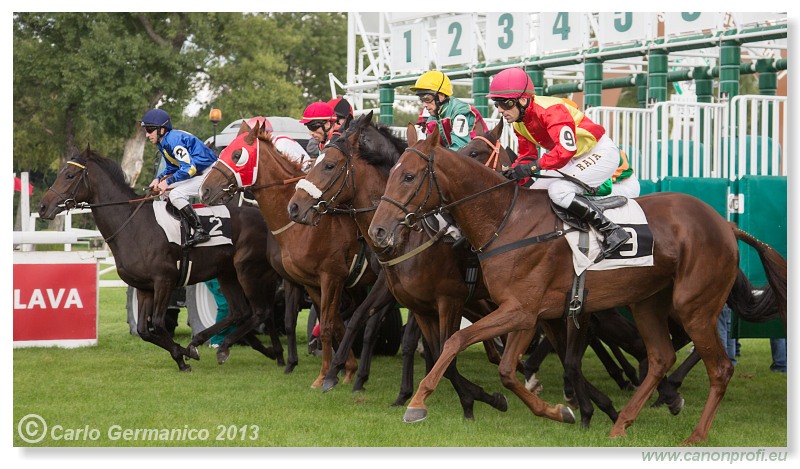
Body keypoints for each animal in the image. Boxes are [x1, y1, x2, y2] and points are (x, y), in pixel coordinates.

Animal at [39, 146, 288, 370]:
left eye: (70, 175)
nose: (42, 207)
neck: (133, 226)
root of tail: (266, 219)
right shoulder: (144, 287)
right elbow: (144, 330)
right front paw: (184, 351)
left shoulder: (164, 281)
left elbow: (157, 324)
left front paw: (182, 358)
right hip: (227, 274)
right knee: (241, 312)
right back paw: (262, 350)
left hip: (248, 271)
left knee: (260, 311)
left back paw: (227, 346)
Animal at [200, 120, 394, 388]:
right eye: (223, 152)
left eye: (237, 155)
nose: (205, 190)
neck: (298, 227)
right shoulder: (301, 280)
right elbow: (311, 321)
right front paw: (336, 367)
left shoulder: (331, 277)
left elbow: (328, 322)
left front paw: (328, 373)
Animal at [370, 125, 788, 442]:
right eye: (390, 174)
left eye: (408, 176)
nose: (378, 231)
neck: (507, 220)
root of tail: (726, 224)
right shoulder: (527, 313)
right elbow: (507, 370)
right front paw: (561, 411)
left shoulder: (521, 310)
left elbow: (456, 342)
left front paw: (417, 403)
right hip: (646, 302)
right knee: (660, 357)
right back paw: (621, 423)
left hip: (694, 306)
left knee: (720, 368)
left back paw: (695, 435)